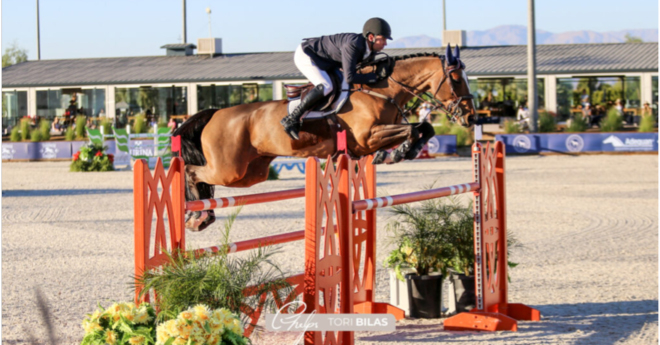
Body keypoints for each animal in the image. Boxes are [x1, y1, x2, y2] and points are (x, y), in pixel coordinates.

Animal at [174, 44, 474, 230]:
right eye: (457, 79)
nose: (470, 117)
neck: (381, 90)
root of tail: (215, 113)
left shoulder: (373, 138)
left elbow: (425, 129)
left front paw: (402, 151)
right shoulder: (367, 138)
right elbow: (412, 129)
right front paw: (402, 151)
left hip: (250, 173)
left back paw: (200, 215)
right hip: (229, 169)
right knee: (190, 170)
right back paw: (196, 215)